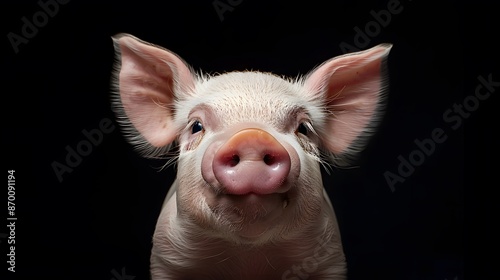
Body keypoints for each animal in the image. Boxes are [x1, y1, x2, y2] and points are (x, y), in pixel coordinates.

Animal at [111, 33, 392, 280]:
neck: (247, 256)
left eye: (304, 128)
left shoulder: (329, 259)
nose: (251, 137)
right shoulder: (167, 259)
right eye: (196, 126)